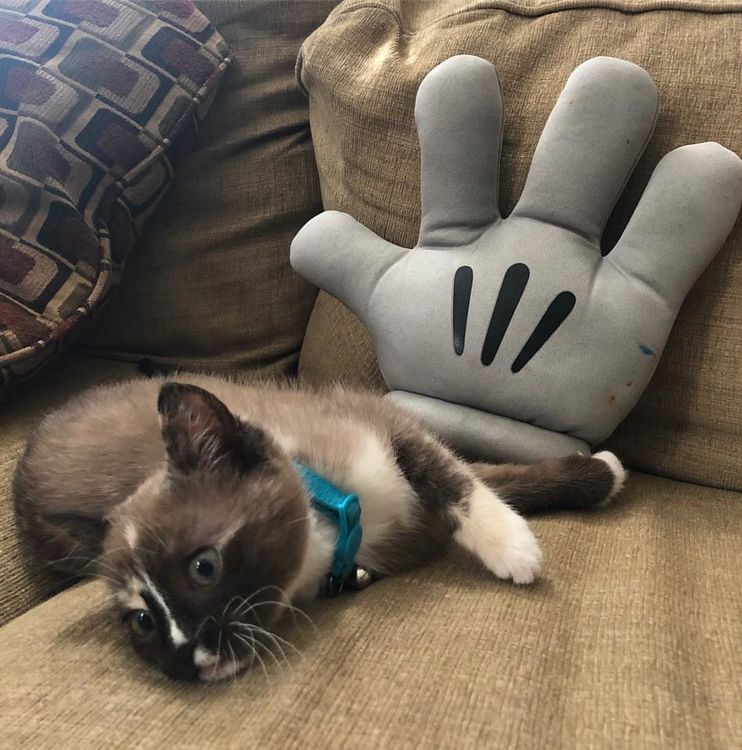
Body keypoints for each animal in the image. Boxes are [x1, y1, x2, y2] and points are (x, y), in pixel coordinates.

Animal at [13, 376, 628, 680]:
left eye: (204, 566)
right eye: (142, 621)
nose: (185, 658)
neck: (337, 522)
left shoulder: (389, 430)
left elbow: (470, 478)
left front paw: (524, 534)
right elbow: (480, 477)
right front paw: (518, 540)